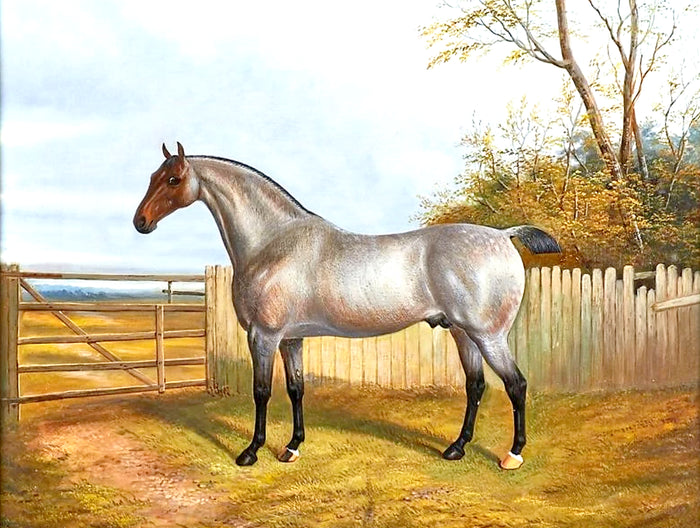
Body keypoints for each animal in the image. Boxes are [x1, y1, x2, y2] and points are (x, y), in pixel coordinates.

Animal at [133, 142, 560, 470]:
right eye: (152, 176)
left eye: (173, 179)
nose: (141, 222)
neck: (273, 243)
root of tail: (503, 235)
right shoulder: (291, 340)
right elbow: (296, 389)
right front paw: (292, 447)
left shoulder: (263, 336)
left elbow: (262, 391)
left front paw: (251, 452)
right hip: (462, 333)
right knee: (475, 386)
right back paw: (456, 448)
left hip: (489, 335)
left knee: (516, 384)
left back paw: (512, 456)